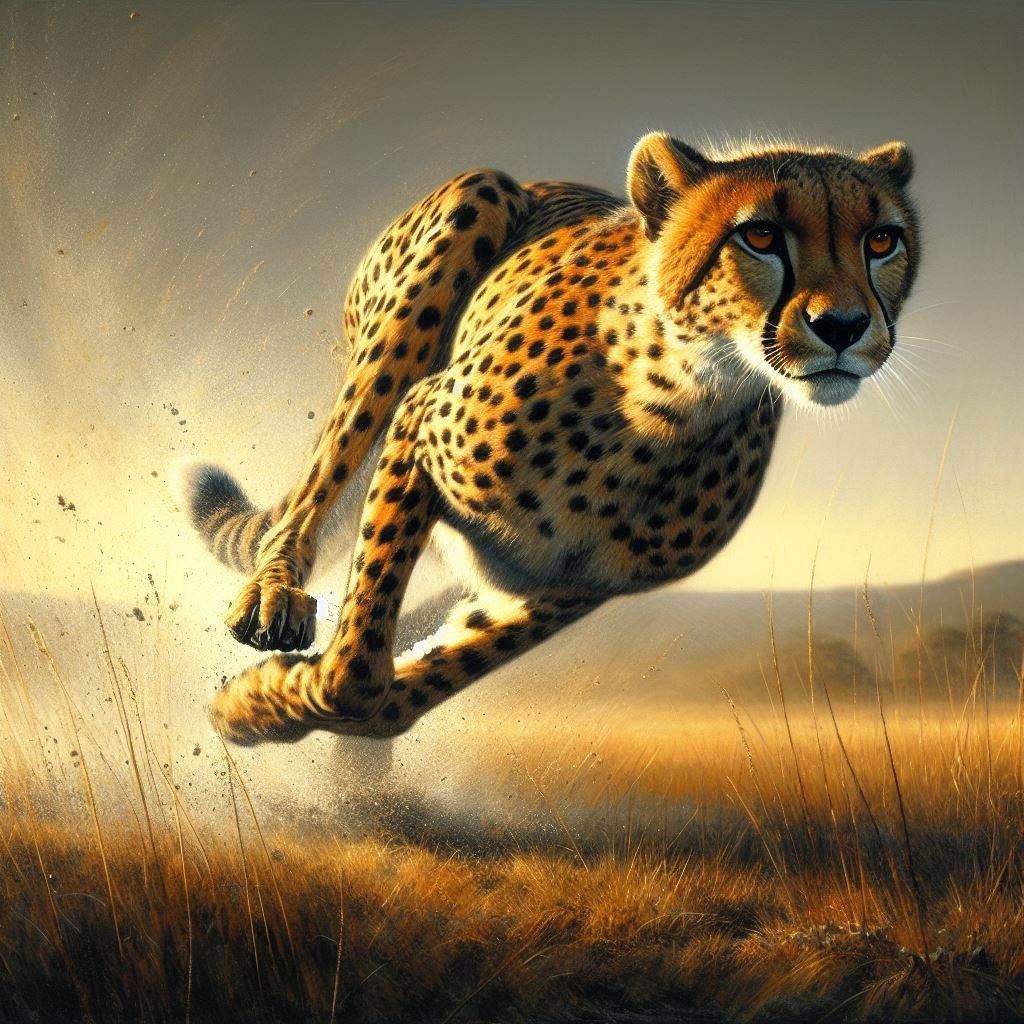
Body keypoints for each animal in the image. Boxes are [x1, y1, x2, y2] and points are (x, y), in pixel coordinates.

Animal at [173, 132, 919, 746]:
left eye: (882, 242)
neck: (678, 398)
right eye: (760, 236)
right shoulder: (418, 422)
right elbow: (357, 673)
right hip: (463, 221)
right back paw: (274, 593)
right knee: (313, 493)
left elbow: (403, 690)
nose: (845, 326)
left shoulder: (562, 586)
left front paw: (261, 699)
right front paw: (258, 697)